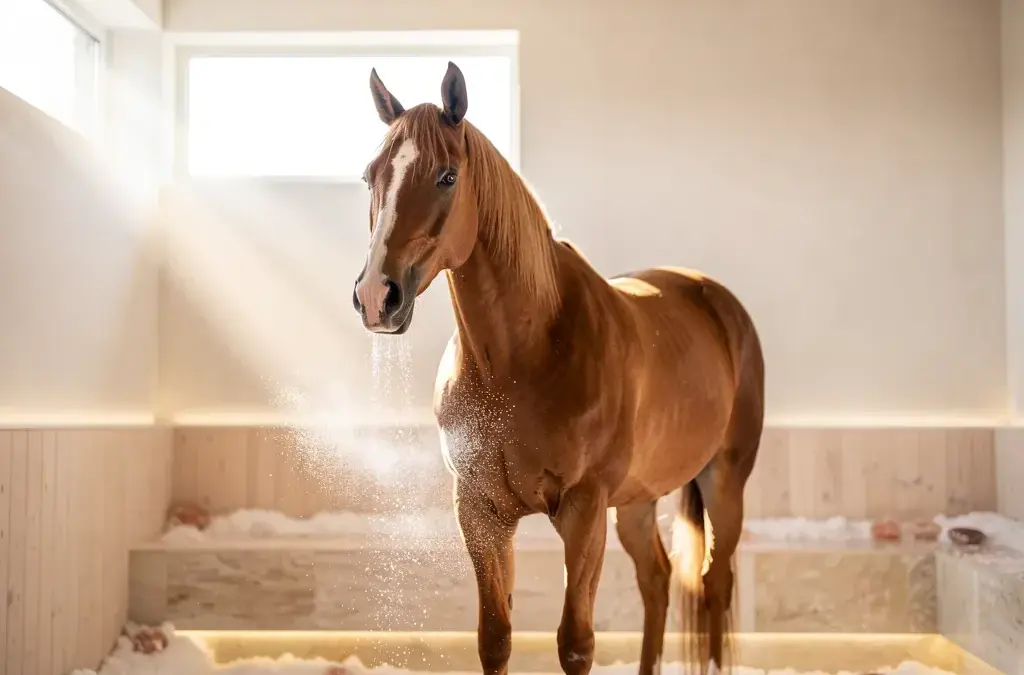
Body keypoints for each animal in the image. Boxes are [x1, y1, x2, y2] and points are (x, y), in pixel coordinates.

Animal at [351, 61, 765, 675]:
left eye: (447, 176)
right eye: (369, 176)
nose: (378, 296)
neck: (518, 361)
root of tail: (712, 296)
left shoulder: (582, 508)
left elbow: (576, 641)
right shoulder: (480, 512)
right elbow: (495, 637)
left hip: (723, 481)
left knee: (714, 585)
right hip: (637, 502)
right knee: (658, 581)